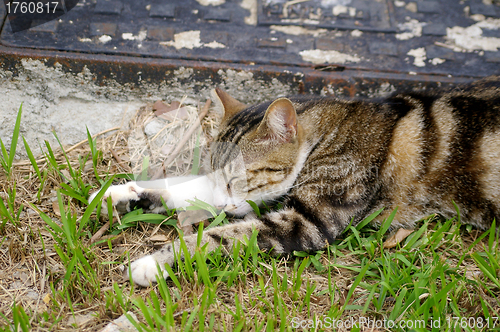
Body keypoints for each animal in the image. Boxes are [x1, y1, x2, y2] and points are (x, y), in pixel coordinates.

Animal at [91, 76, 500, 286]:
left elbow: (217, 236)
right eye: (224, 178)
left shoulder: (307, 222)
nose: (224, 205)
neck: (330, 129)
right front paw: (124, 192)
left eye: (241, 179)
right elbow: (187, 186)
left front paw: (154, 262)